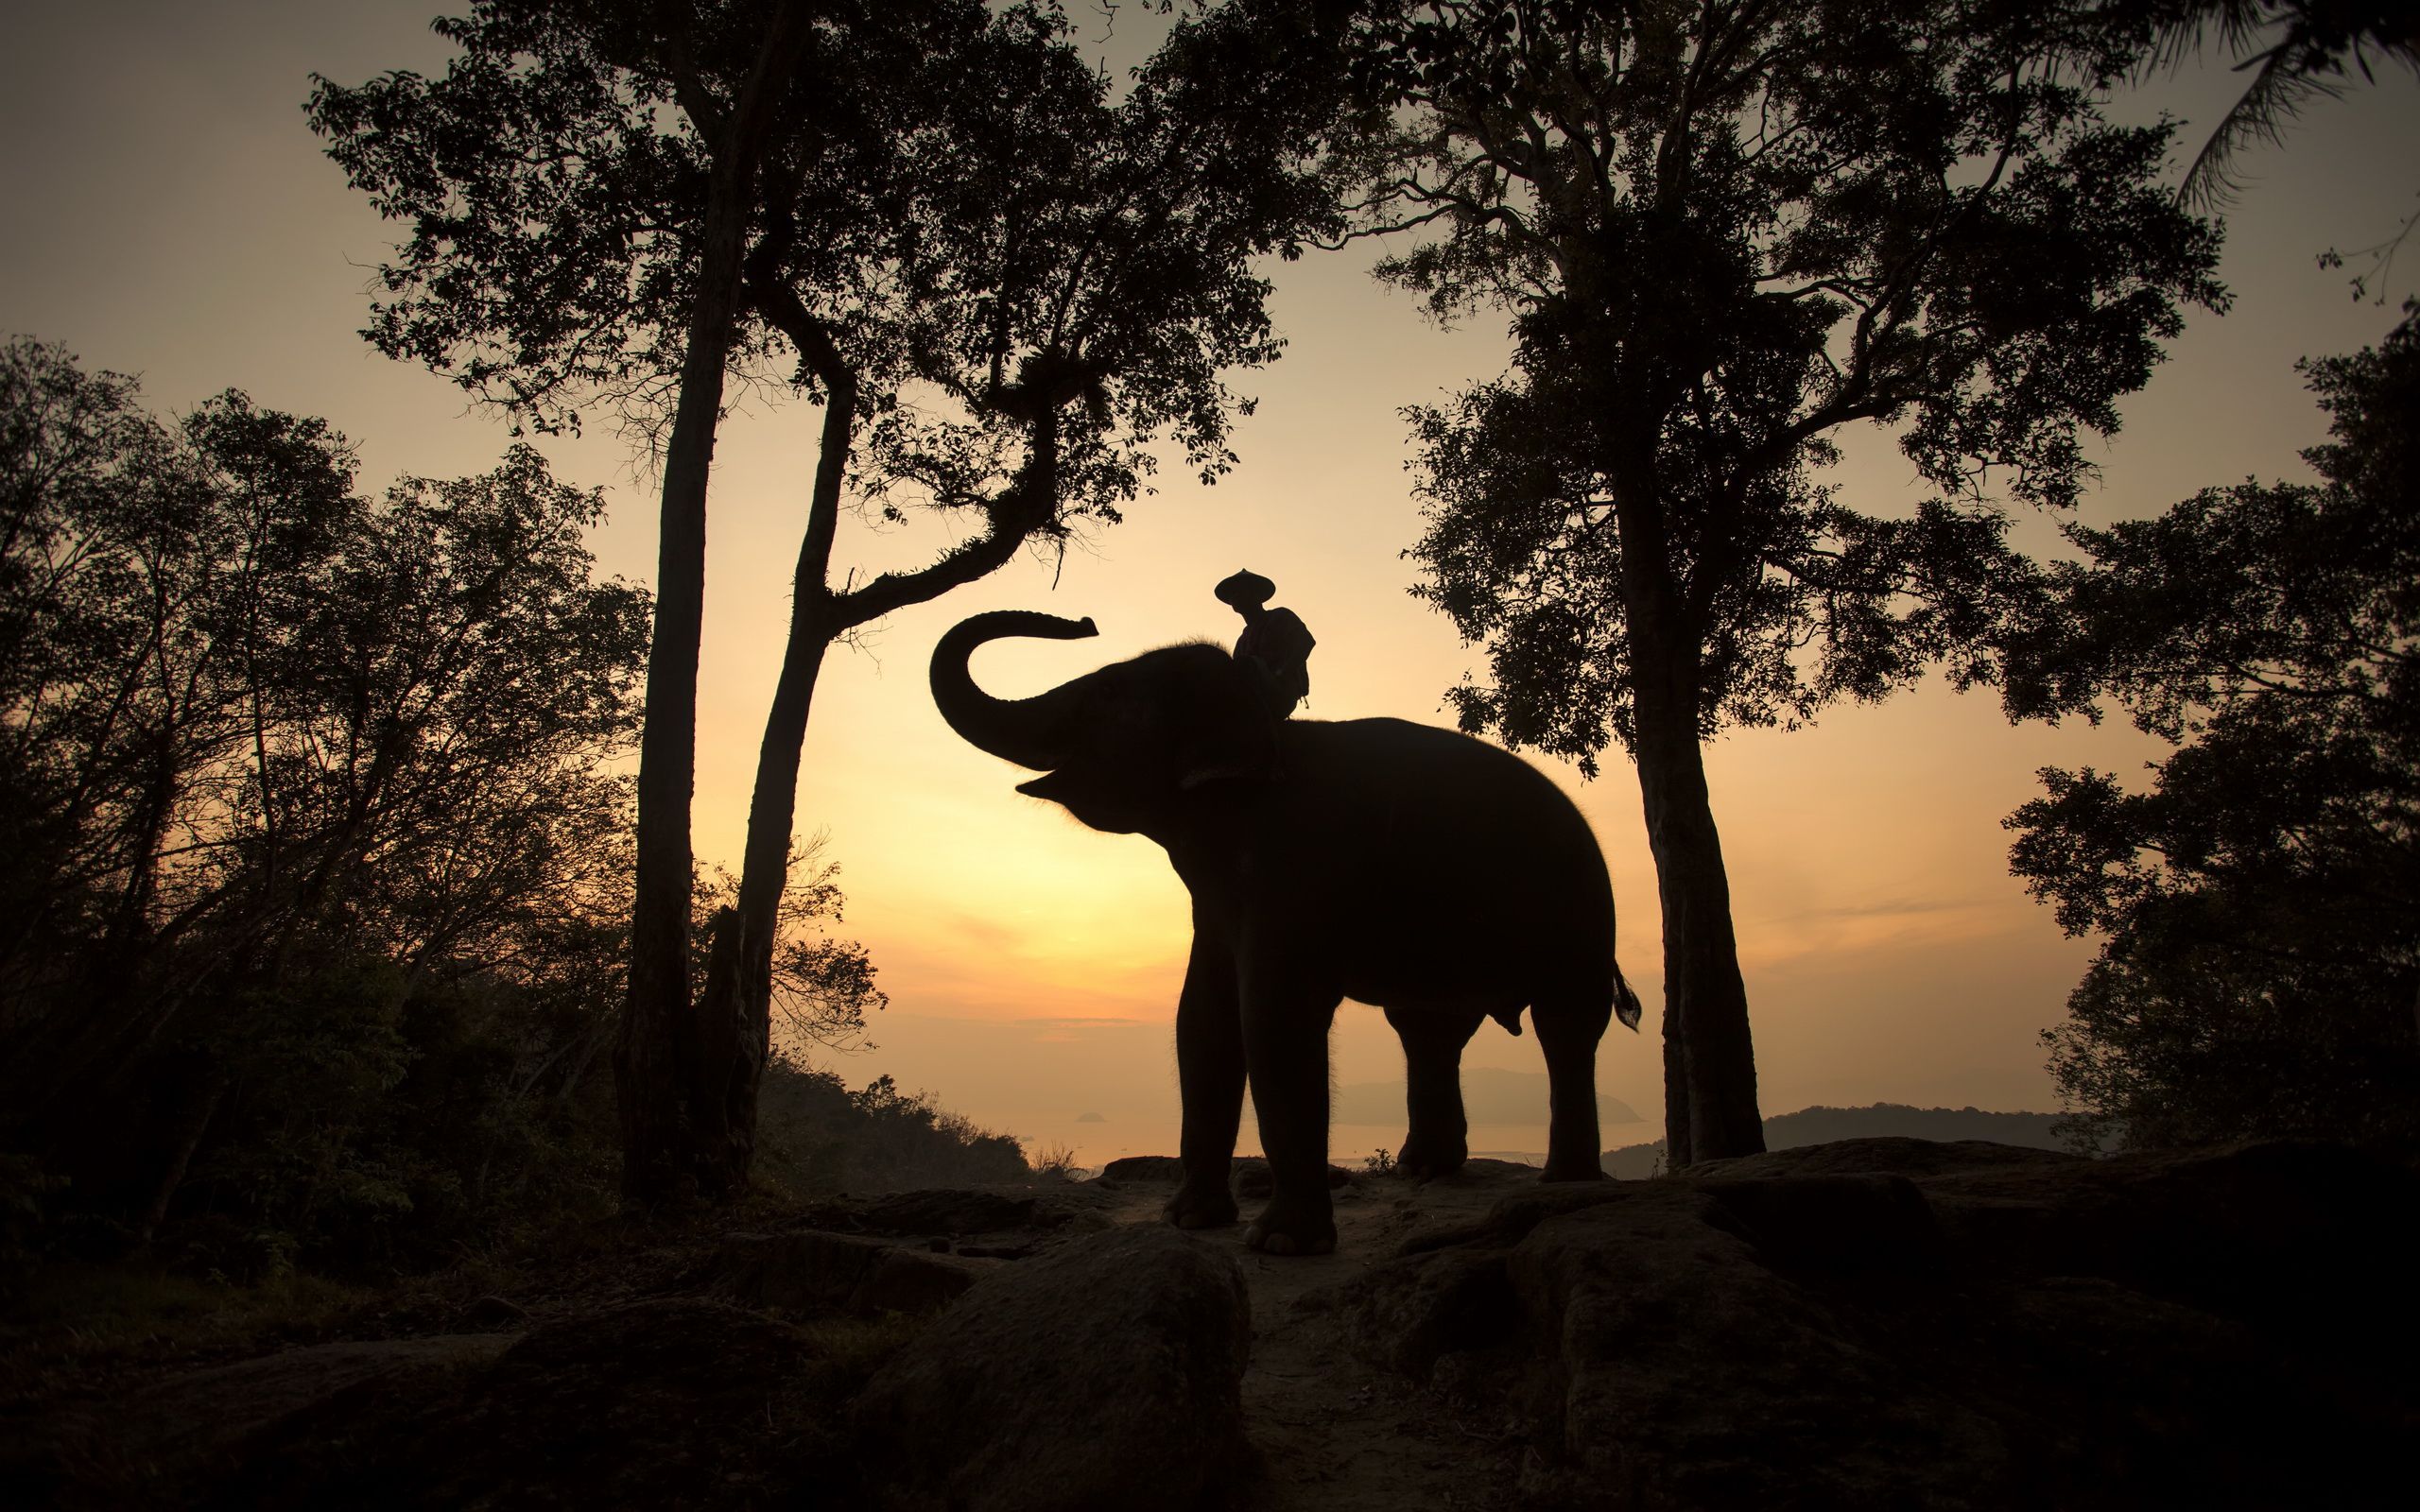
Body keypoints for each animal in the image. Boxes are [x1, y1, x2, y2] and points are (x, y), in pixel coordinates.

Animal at [930, 610, 1642, 1255]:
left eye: (1107, 691)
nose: (1081, 622)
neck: (1263, 727)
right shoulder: (1220, 898)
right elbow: (1203, 1016)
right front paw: (1188, 1221)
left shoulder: (1299, 867)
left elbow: (1273, 1014)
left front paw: (1280, 1242)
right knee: (1428, 1030)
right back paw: (1423, 1170)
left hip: (1580, 917)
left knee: (1565, 1027)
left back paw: (1566, 1182)